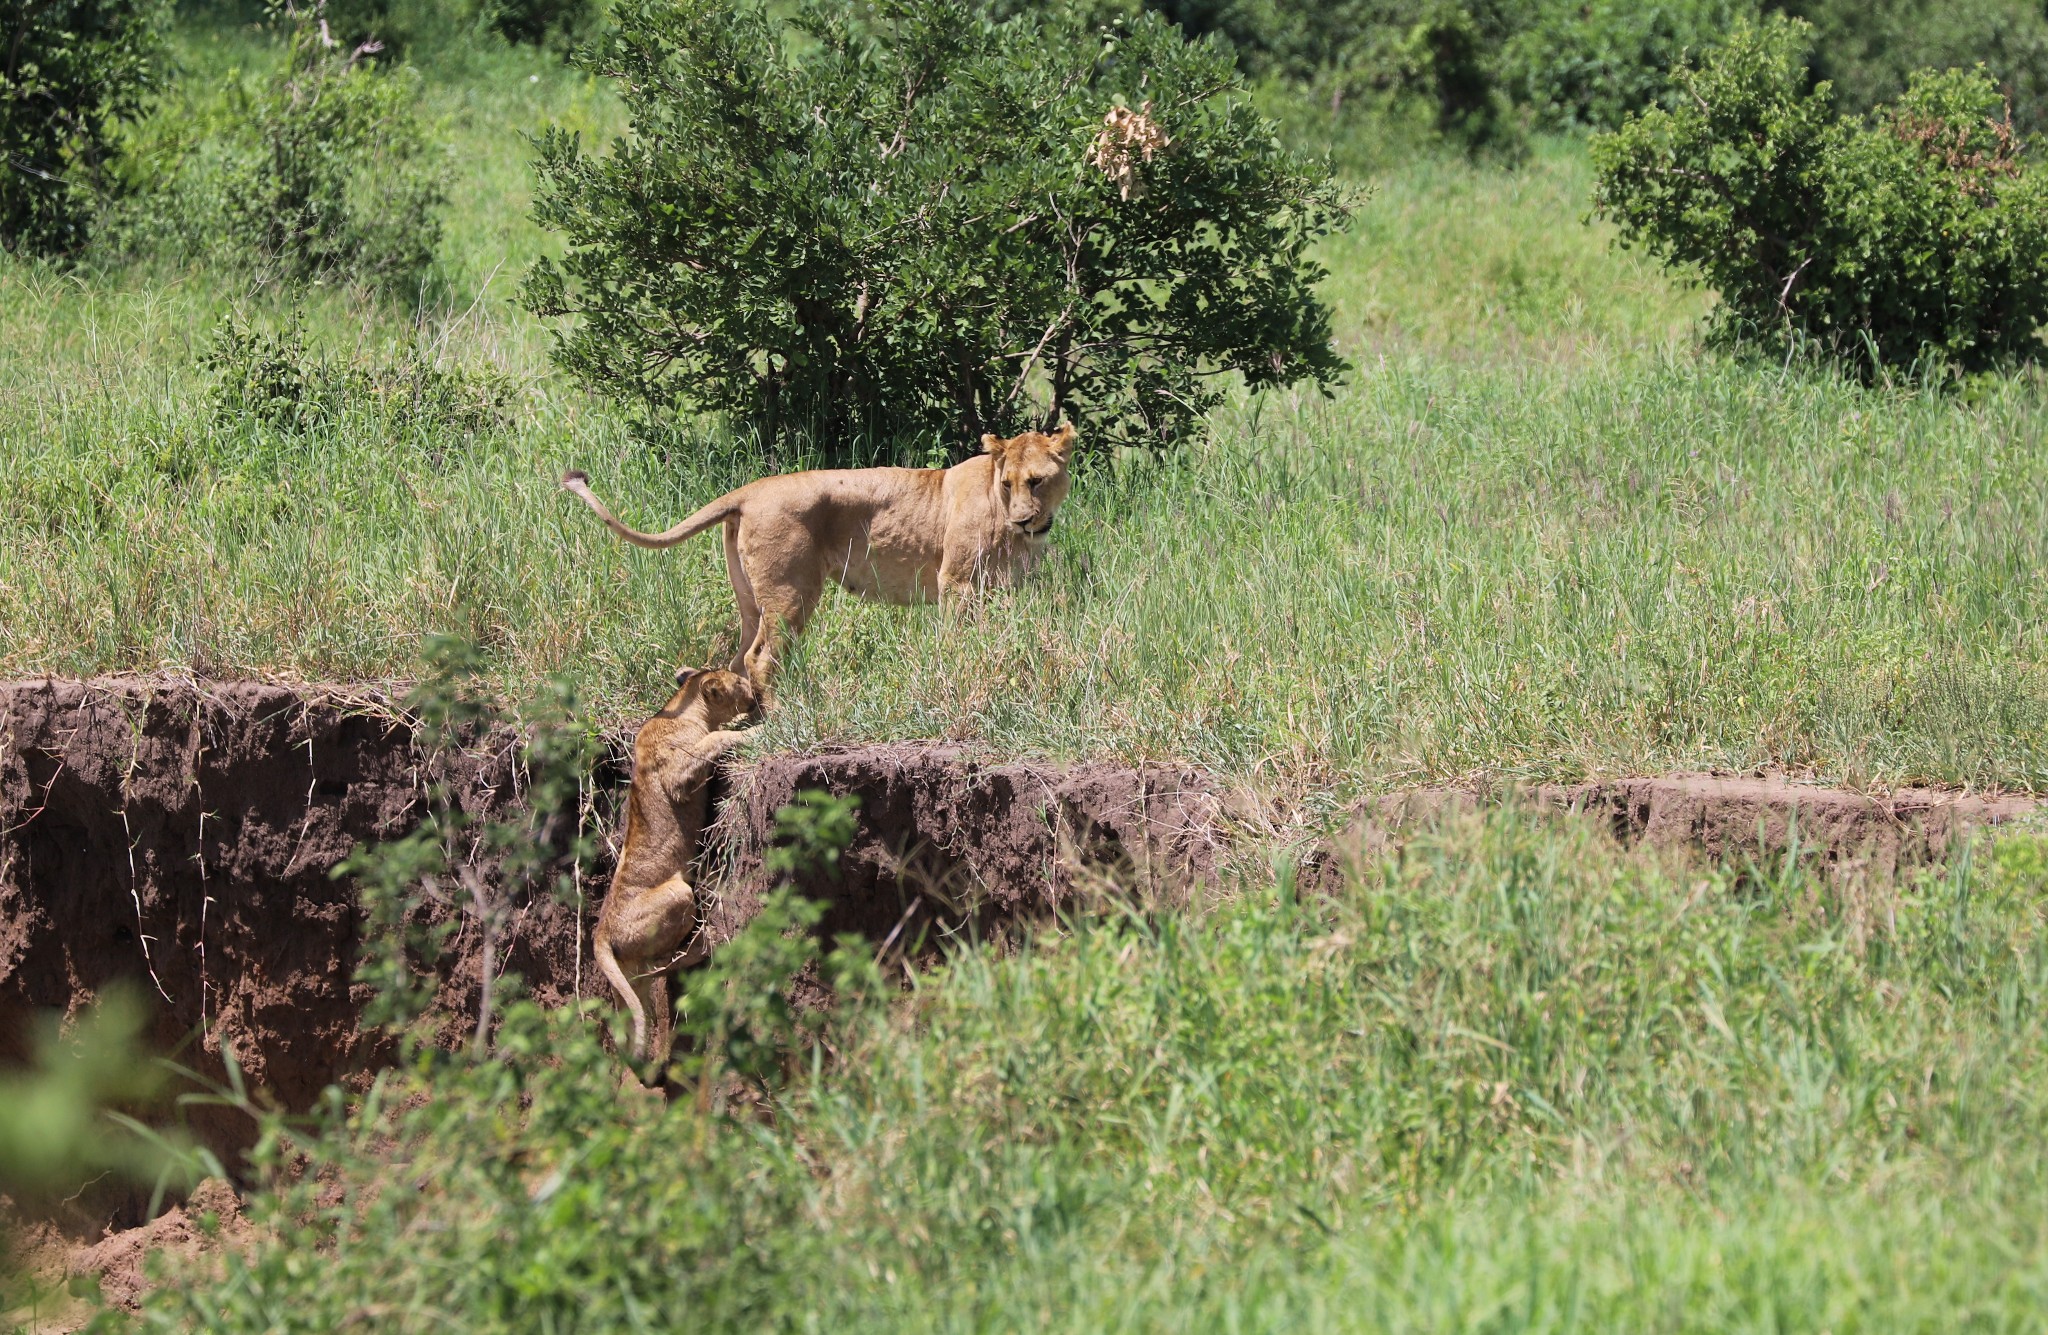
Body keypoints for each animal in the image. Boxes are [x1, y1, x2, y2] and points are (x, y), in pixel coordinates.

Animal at [561, 421, 1073, 700]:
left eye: (1037, 481)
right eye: (1008, 483)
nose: (1024, 519)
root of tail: (748, 491)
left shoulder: (1010, 589)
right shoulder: (958, 582)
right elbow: (960, 639)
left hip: (751, 599)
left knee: (739, 654)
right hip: (792, 592)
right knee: (760, 656)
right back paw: (779, 713)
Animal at [593, 667, 761, 1064]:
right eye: (739, 683)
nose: (754, 695)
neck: (682, 708)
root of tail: (599, 933)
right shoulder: (679, 771)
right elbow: (717, 737)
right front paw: (752, 730)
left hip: (626, 983)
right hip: (678, 893)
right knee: (657, 966)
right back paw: (702, 945)